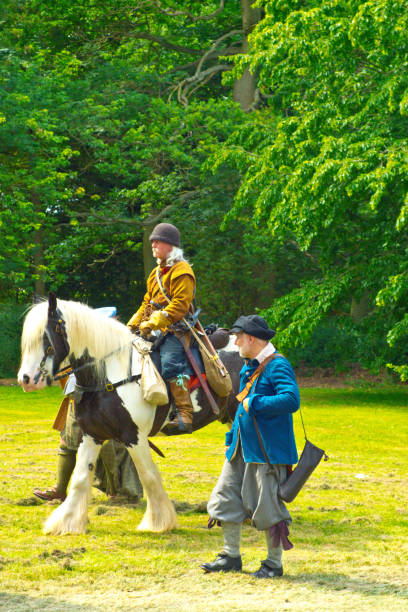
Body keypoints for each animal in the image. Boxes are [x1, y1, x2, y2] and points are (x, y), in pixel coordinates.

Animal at [18, 294, 242, 532]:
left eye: (48, 334)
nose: (26, 379)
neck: (107, 375)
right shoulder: (91, 434)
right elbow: (81, 476)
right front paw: (67, 522)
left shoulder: (134, 436)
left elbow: (148, 475)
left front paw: (158, 522)